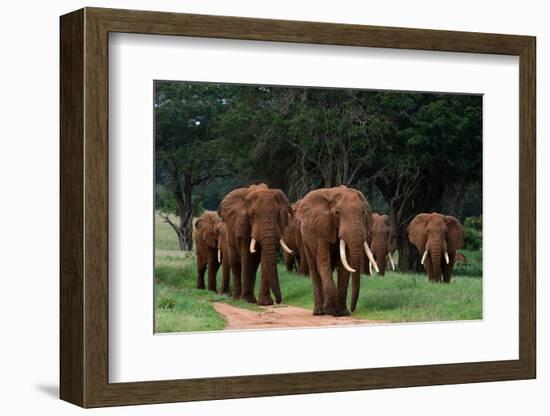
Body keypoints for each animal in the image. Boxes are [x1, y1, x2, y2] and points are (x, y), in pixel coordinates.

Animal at [298, 185, 380, 316]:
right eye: (337, 213)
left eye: (363, 212)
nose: (353, 309)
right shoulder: (322, 227)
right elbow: (323, 263)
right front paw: (330, 310)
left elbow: (345, 266)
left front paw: (342, 313)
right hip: (304, 238)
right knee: (314, 268)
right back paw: (319, 312)